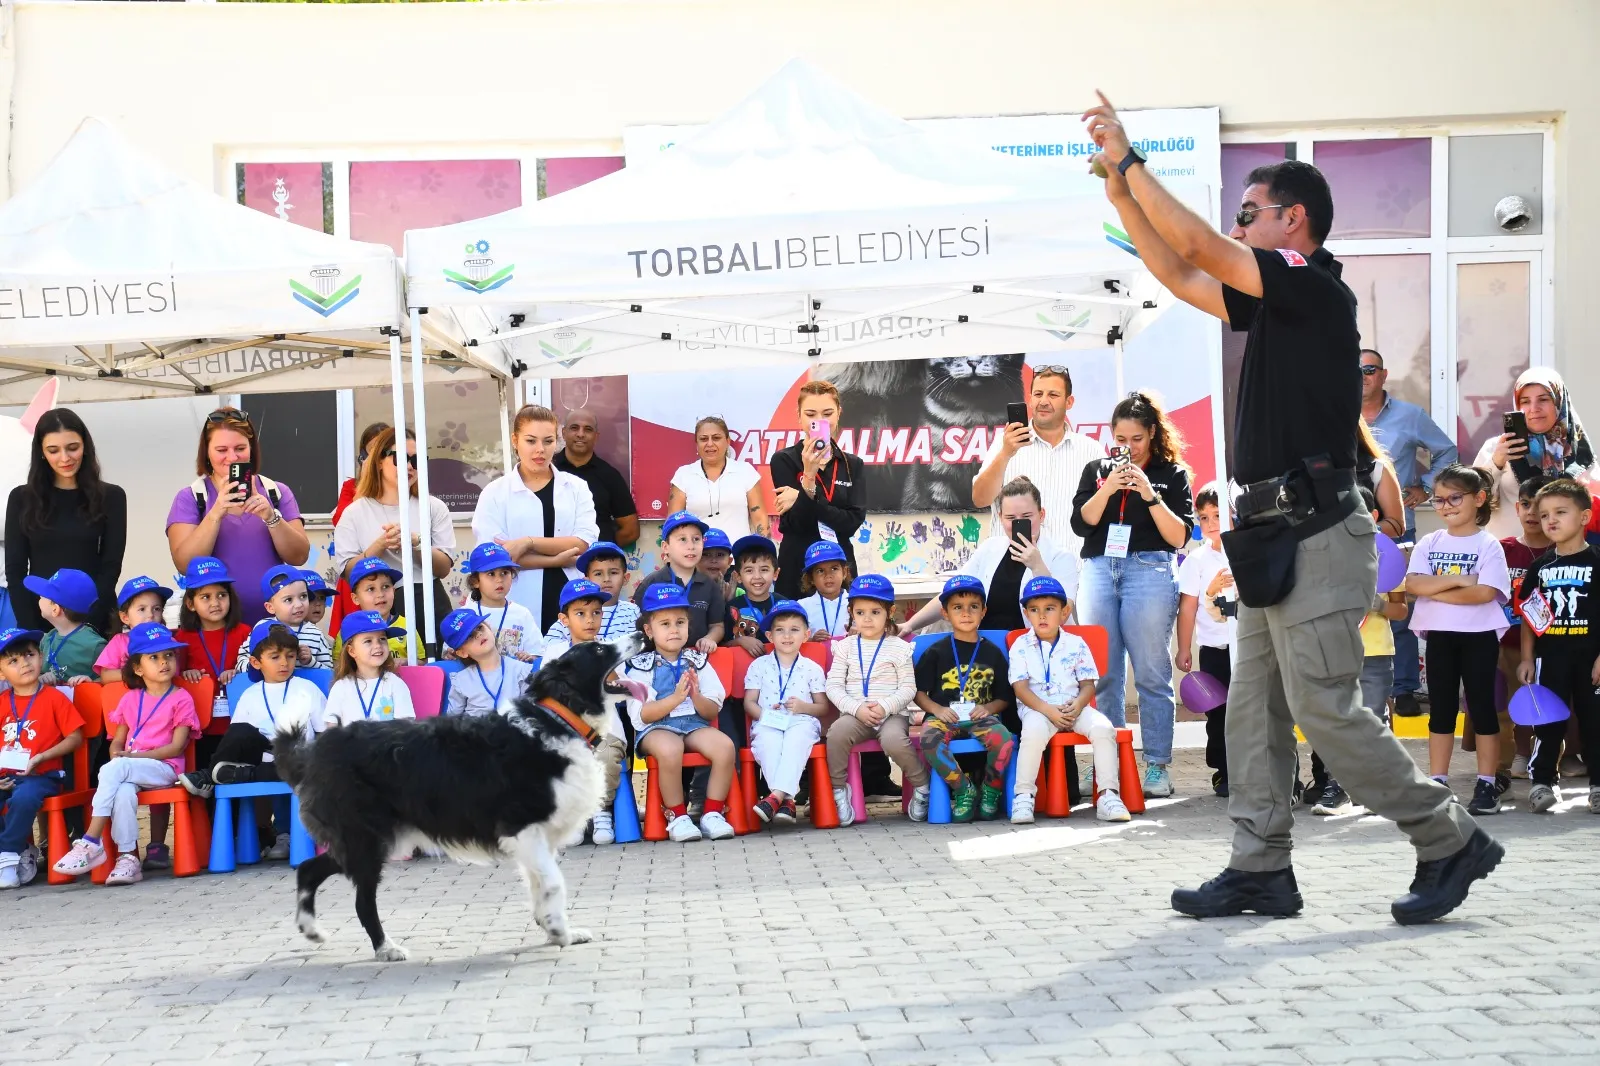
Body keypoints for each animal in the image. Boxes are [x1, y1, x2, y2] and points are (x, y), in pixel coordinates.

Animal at [273, 633, 643, 960]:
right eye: (599, 650)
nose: (640, 633)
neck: (558, 718)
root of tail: (313, 753)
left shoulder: (538, 838)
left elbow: (540, 886)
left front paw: (556, 930)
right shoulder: (521, 827)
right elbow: (554, 884)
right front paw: (558, 931)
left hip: (365, 839)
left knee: (307, 869)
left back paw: (311, 929)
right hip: (366, 839)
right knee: (361, 900)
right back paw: (386, 948)